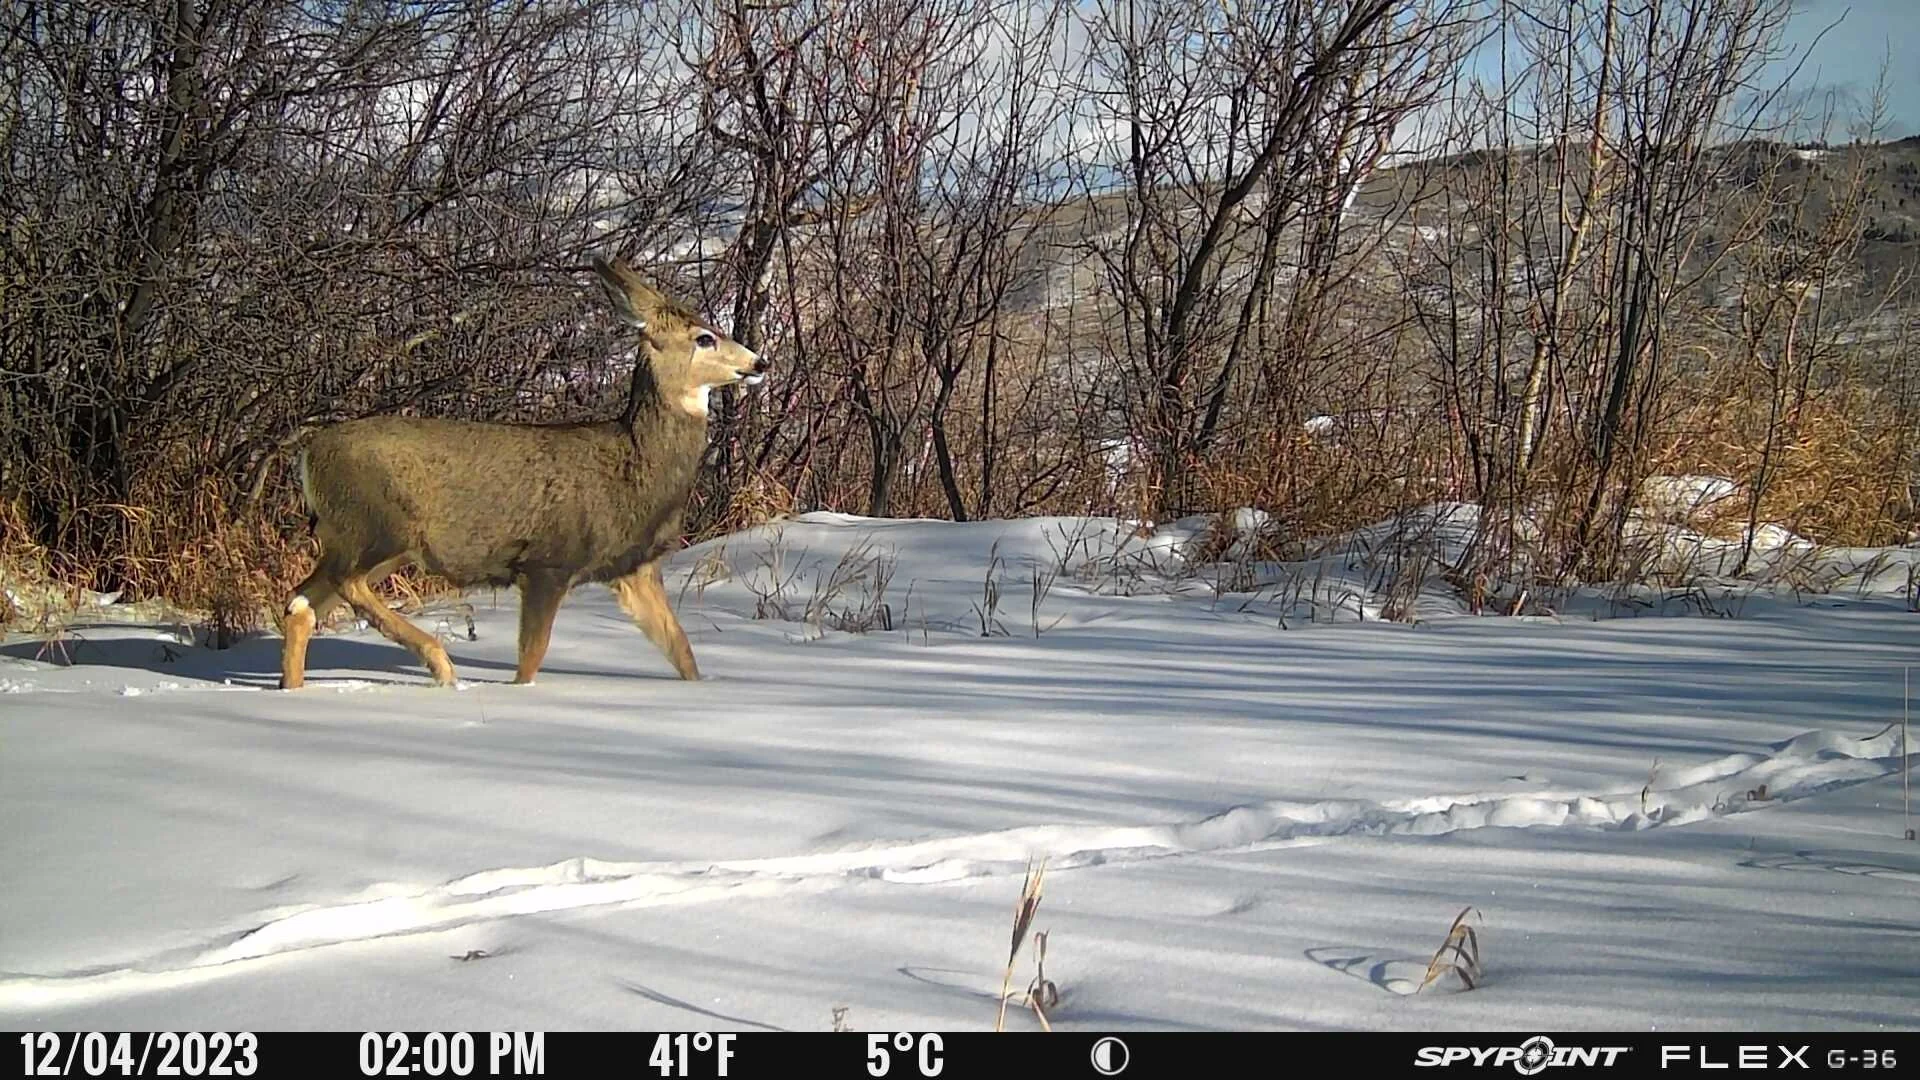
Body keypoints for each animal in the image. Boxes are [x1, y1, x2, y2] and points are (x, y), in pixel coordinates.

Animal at [276, 254, 766, 690]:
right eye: (704, 337)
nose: (758, 363)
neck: (633, 464)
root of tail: (307, 455)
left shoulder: (632, 567)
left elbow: (682, 652)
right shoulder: (547, 561)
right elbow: (531, 659)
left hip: (364, 540)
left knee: (301, 604)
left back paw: (295, 689)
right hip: (375, 523)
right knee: (341, 585)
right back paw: (441, 664)